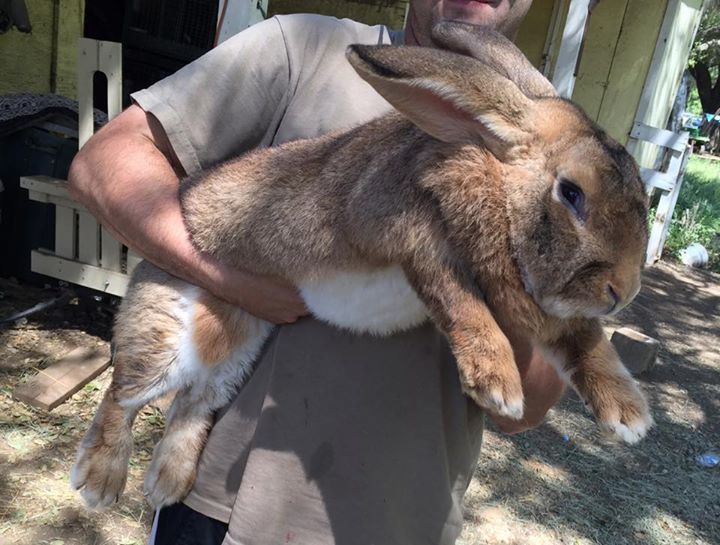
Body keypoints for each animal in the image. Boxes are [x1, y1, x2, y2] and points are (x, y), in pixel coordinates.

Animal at [71, 23, 652, 510]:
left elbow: (587, 341)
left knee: (192, 404)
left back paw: (167, 485)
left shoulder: (553, 311)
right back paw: (100, 484)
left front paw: (629, 417)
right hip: (166, 332)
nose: (622, 291)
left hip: (235, 352)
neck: (492, 179)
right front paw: (499, 385)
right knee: (124, 393)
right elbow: (459, 300)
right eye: (571, 193)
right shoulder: (412, 238)